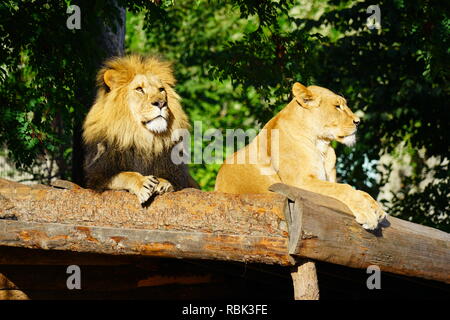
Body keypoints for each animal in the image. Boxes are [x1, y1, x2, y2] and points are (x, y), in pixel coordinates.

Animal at [83, 54, 199, 202]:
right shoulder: (97, 177)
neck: (142, 138)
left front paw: (163, 183)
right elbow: (123, 175)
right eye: (139, 89)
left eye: (161, 89)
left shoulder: (180, 178)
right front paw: (143, 183)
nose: (161, 103)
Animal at [216, 81, 384, 229]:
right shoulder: (299, 183)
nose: (358, 121)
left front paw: (377, 208)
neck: (321, 145)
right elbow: (344, 188)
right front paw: (368, 214)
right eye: (337, 106)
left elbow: (358, 191)